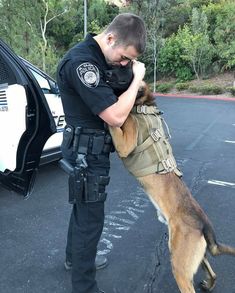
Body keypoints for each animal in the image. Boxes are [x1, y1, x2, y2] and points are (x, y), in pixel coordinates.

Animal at [109, 82, 235, 292]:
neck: (145, 104)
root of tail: (204, 224)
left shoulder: (125, 143)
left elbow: (114, 125)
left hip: (179, 267)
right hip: (193, 257)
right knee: (212, 271)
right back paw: (209, 284)